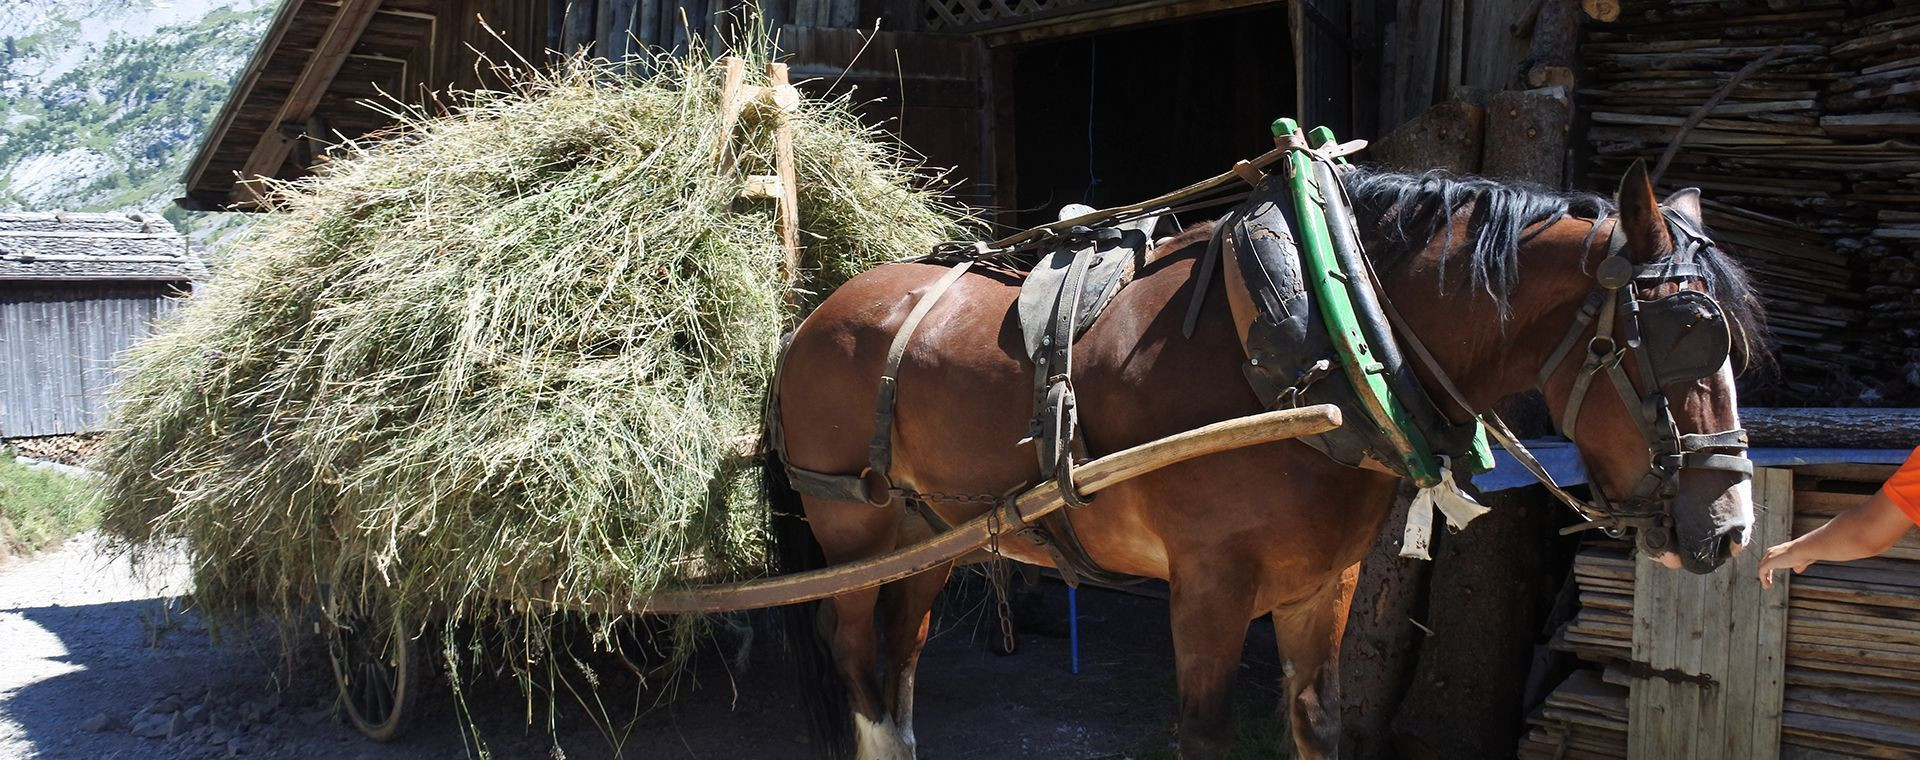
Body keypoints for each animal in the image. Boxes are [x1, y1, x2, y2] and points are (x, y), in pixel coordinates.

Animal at [764, 160, 1763, 760]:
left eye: (1734, 344)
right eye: (1684, 334)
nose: (1728, 531)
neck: (1330, 336)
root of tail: (814, 318)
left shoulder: (1322, 582)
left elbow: (1317, 722)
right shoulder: (1210, 586)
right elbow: (1205, 732)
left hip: (930, 538)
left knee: (901, 655)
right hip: (851, 533)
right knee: (855, 657)